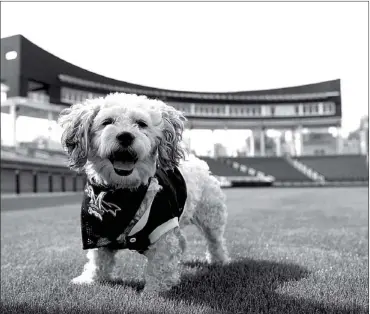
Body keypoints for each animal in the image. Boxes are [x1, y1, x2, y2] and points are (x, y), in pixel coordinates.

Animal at [58, 92, 228, 294]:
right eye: (107, 122)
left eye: (141, 123)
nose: (125, 136)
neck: (124, 193)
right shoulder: (97, 232)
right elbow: (98, 259)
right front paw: (90, 279)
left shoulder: (163, 230)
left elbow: (160, 265)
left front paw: (154, 292)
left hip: (211, 215)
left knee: (215, 240)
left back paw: (219, 260)